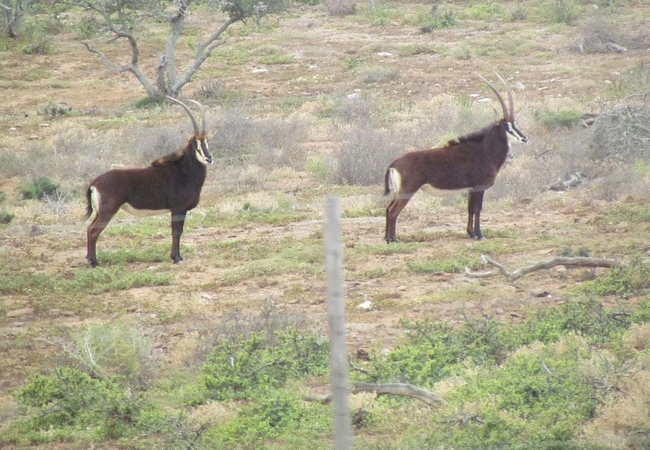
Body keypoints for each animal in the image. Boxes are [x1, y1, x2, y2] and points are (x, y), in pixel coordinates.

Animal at [84, 96, 213, 268]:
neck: (183, 171)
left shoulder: (180, 210)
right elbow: (176, 232)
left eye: (207, 142)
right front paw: (176, 258)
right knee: (93, 231)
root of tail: (95, 182)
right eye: (195, 144)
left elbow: (179, 232)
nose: (209, 159)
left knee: (89, 229)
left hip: (100, 212)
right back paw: (94, 262)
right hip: (107, 211)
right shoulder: (177, 209)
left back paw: (89, 259)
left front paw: (178, 256)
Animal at [384, 73, 528, 243]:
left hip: (398, 192)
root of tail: (395, 163)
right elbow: (477, 209)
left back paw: (388, 238)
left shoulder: (471, 189)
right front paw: (479, 235)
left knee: (388, 209)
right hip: (407, 191)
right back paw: (393, 240)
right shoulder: (480, 187)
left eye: (515, 124)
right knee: (393, 211)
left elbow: (470, 209)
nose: (524, 139)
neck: (485, 150)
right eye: (507, 127)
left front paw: (470, 233)